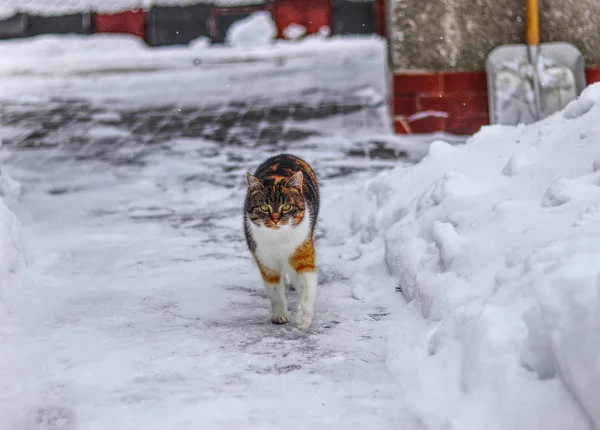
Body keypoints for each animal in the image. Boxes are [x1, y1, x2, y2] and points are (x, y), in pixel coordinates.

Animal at [243, 154, 318, 330]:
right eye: (264, 207)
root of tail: (284, 155)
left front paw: (303, 319)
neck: (278, 238)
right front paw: (280, 315)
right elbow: (275, 291)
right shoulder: (265, 260)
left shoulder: (303, 250)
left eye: (286, 206)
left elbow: (308, 286)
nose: (275, 219)